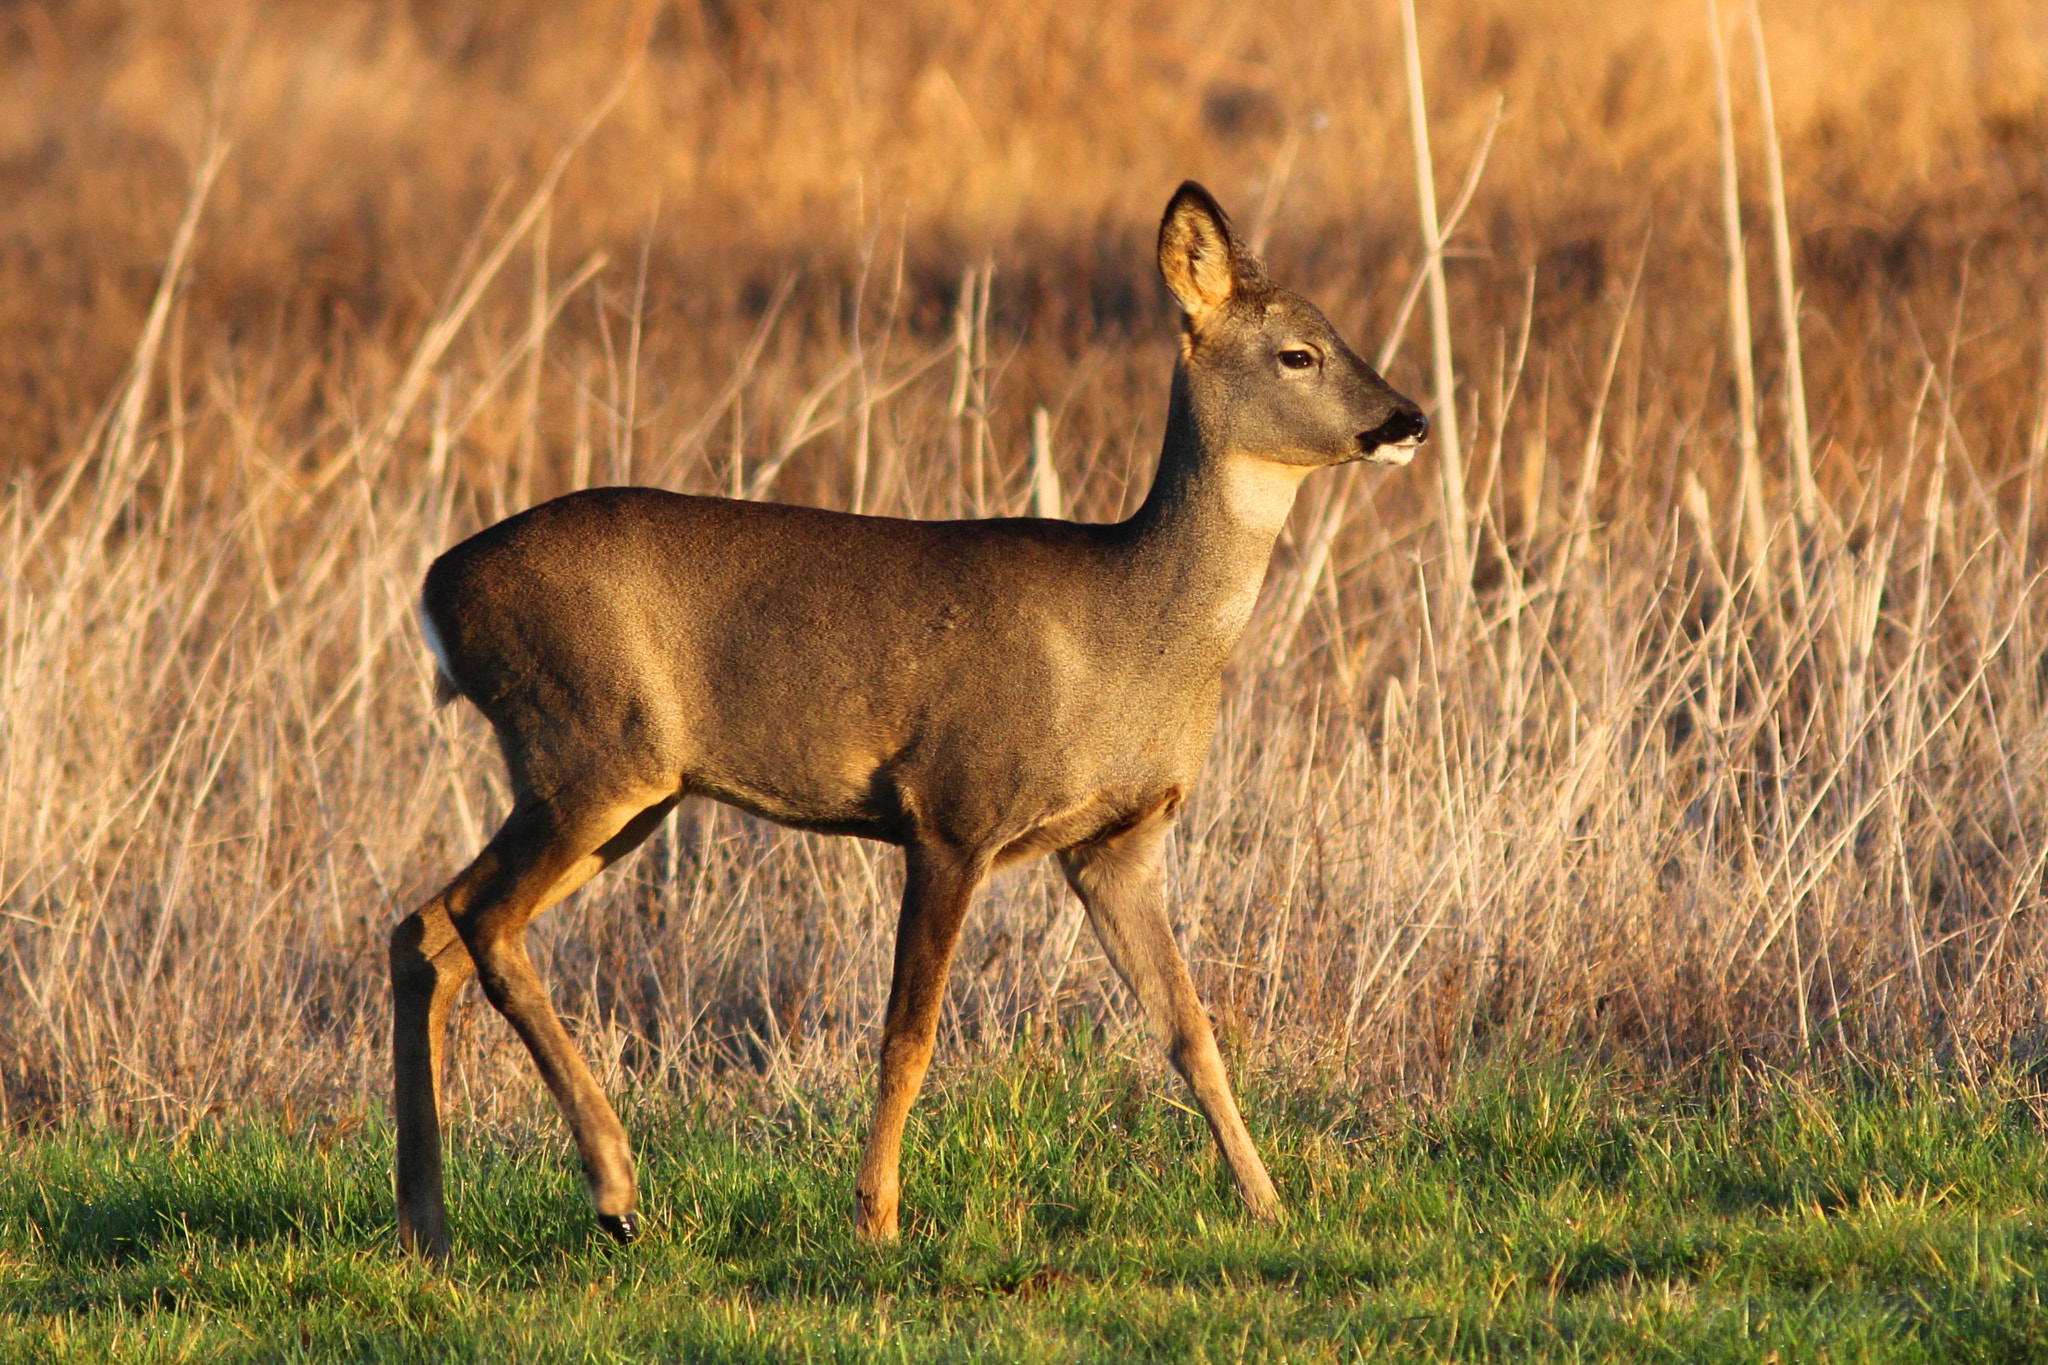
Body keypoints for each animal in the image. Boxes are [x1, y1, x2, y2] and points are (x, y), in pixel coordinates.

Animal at [389, 181, 1426, 1259]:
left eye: (1339, 332)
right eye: (1296, 352)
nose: (1408, 418)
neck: (1130, 636)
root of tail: (435, 590)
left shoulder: (1115, 842)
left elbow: (1190, 1028)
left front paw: (1268, 1204)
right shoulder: (953, 808)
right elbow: (908, 1034)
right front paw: (877, 1218)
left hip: (616, 792)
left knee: (424, 931)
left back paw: (429, 1224)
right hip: (589, 747)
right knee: (478, 920)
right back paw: (612, 1185)